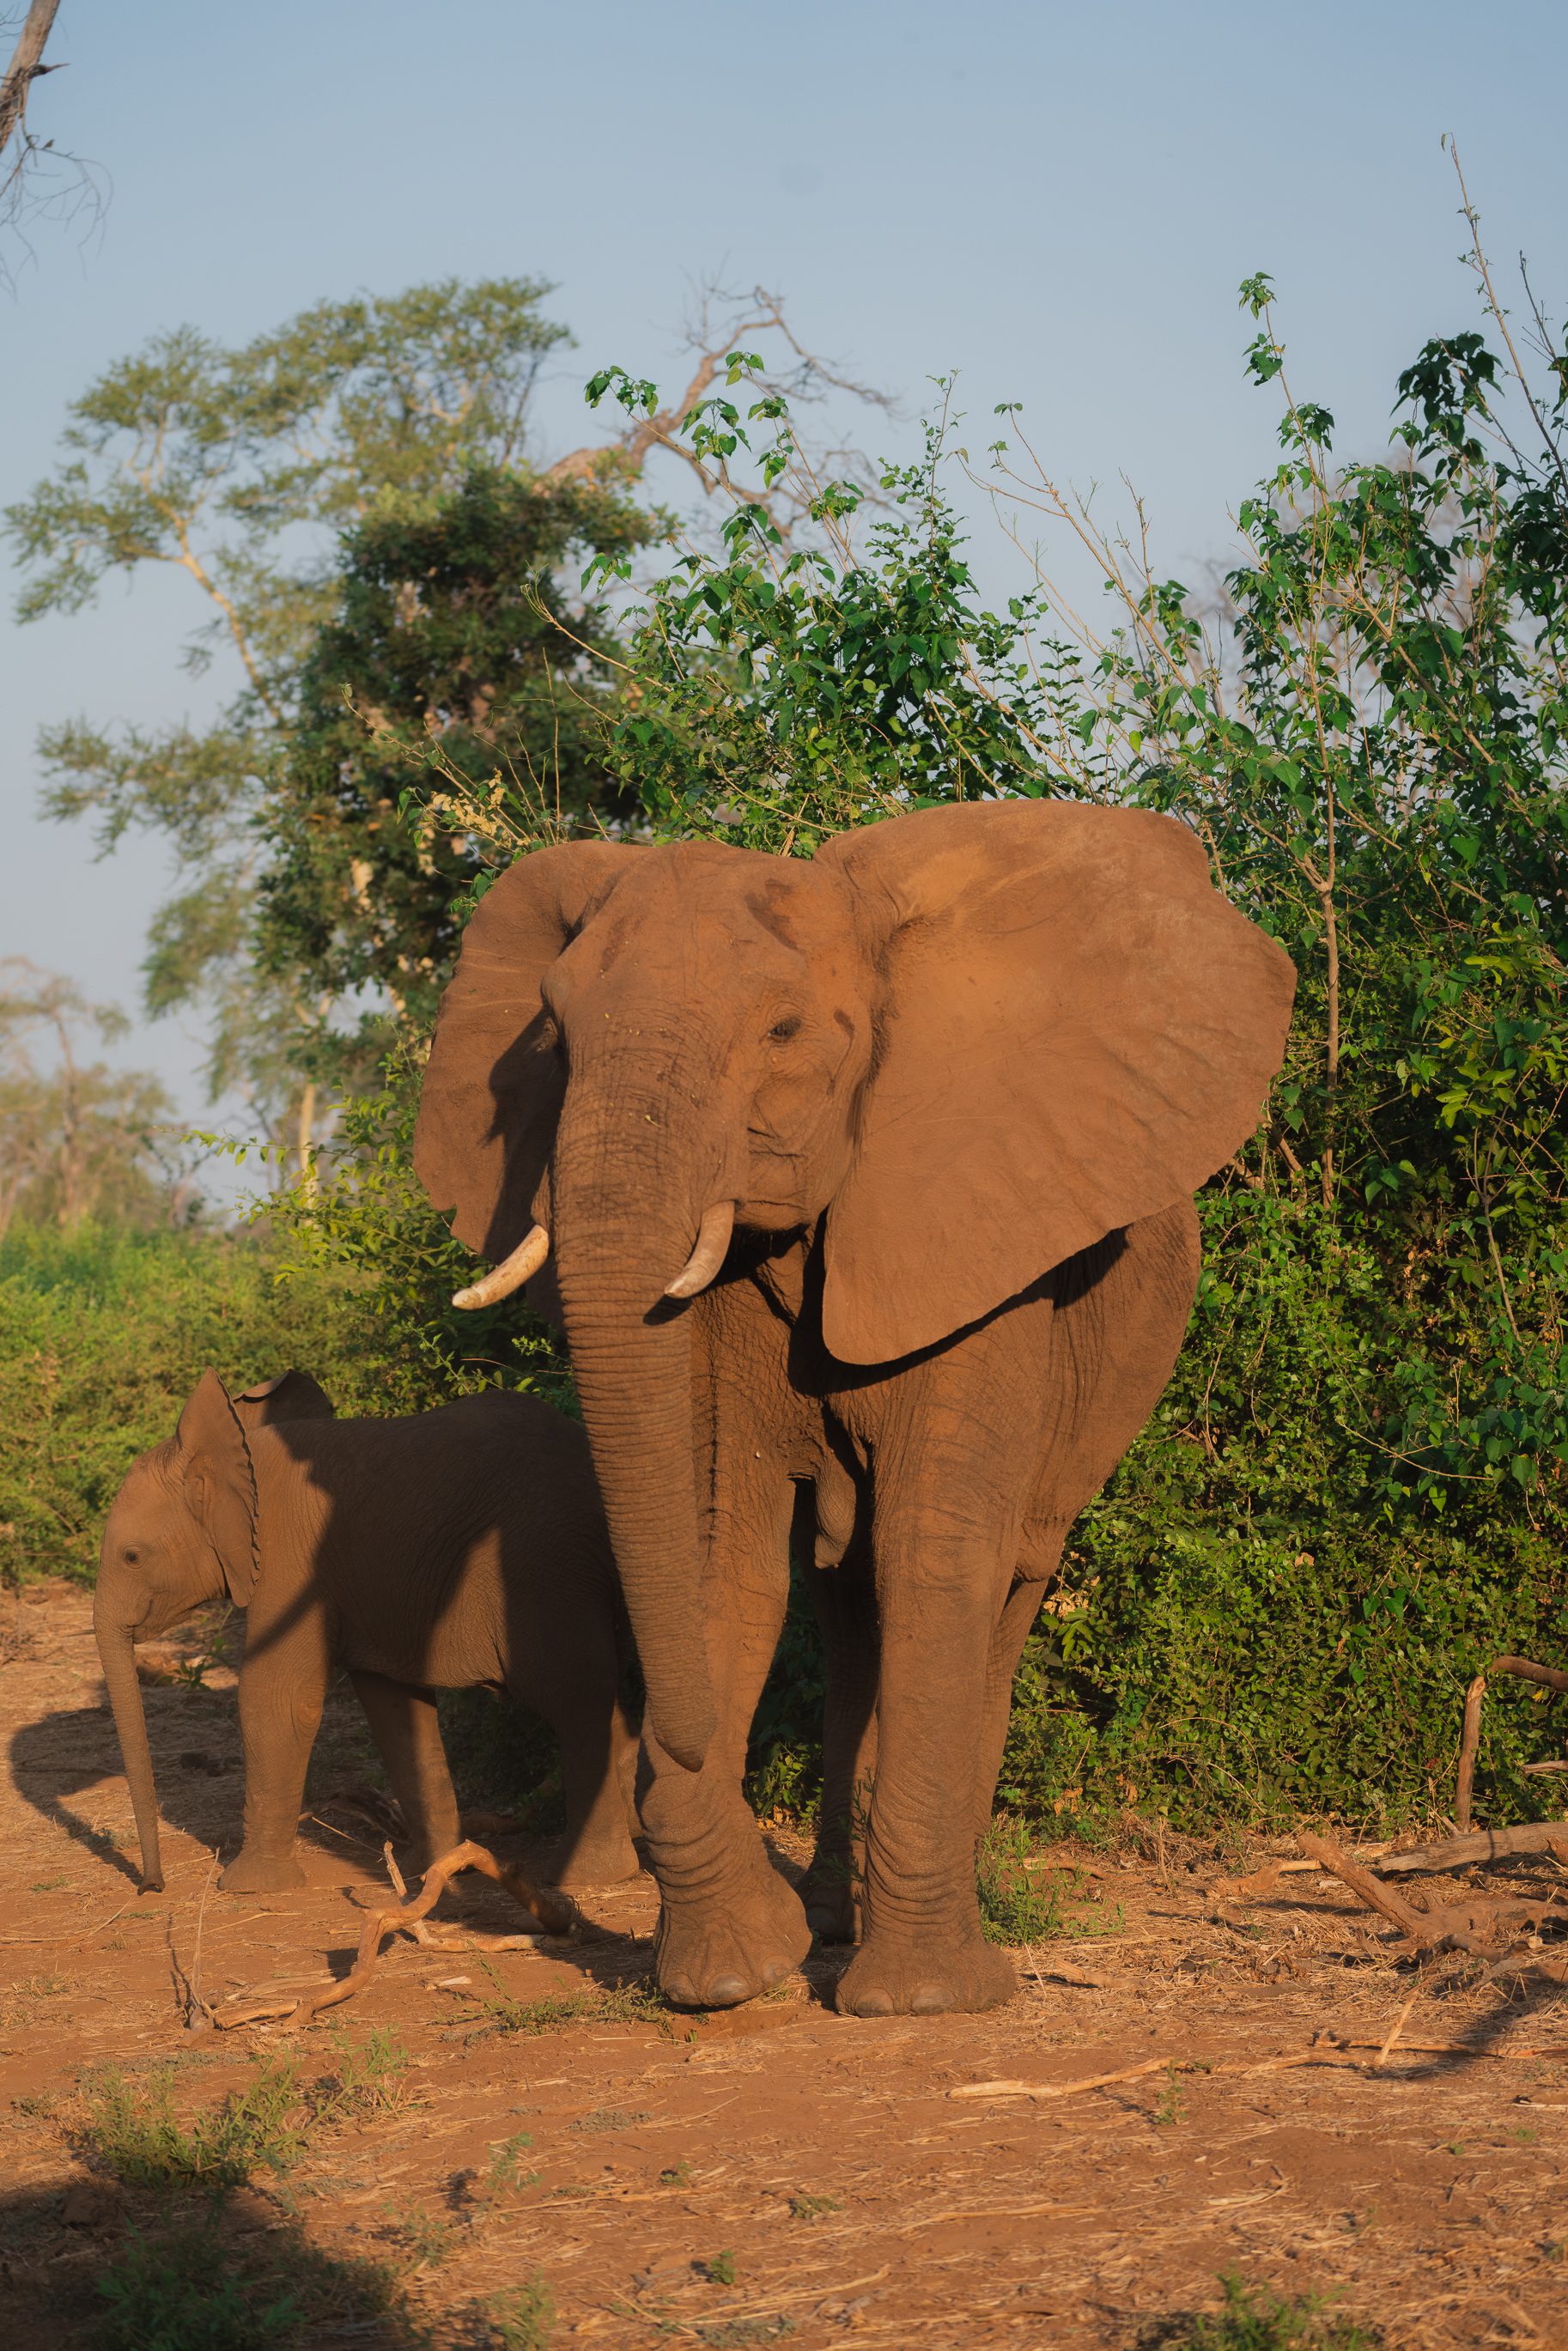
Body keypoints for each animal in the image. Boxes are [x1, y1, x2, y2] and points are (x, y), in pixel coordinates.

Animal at [94, 1368, 641, 1897]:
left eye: (132, 1557)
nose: (151, 1886)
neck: (240, 1458)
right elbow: (394, 1708)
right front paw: (435, 1872)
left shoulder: (291, 1558)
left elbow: (277, 1697)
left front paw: (248, 1888)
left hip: (545, 1560)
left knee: (576, 1694)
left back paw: (590, 1875)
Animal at [412, 798, 1294, 2016]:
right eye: (551, 1036)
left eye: (785, 1032)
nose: (677, 1754)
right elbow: (722, 1552)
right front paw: (732, 1973)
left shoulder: (978, 1238)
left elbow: (934, 1549)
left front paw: (924, 2000)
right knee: (843, 1604)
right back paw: (834, 1915)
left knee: (999, 1579)